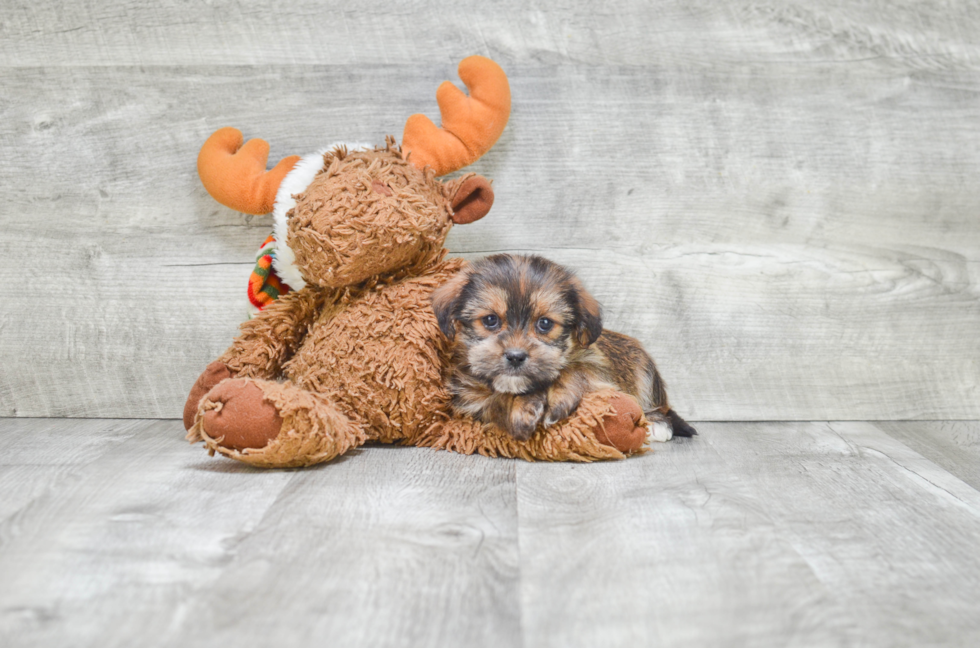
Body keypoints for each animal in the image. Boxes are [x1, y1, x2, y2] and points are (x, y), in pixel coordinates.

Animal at [430, 253, 696, 440]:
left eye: (545, 323)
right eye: (490, 320)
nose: (515, 357)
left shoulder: (599, 369)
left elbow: (574, 370)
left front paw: (557, 399)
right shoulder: (469, 395)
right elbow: (495, 399)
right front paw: (524, 410)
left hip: (645, 371)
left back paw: (657, 424)